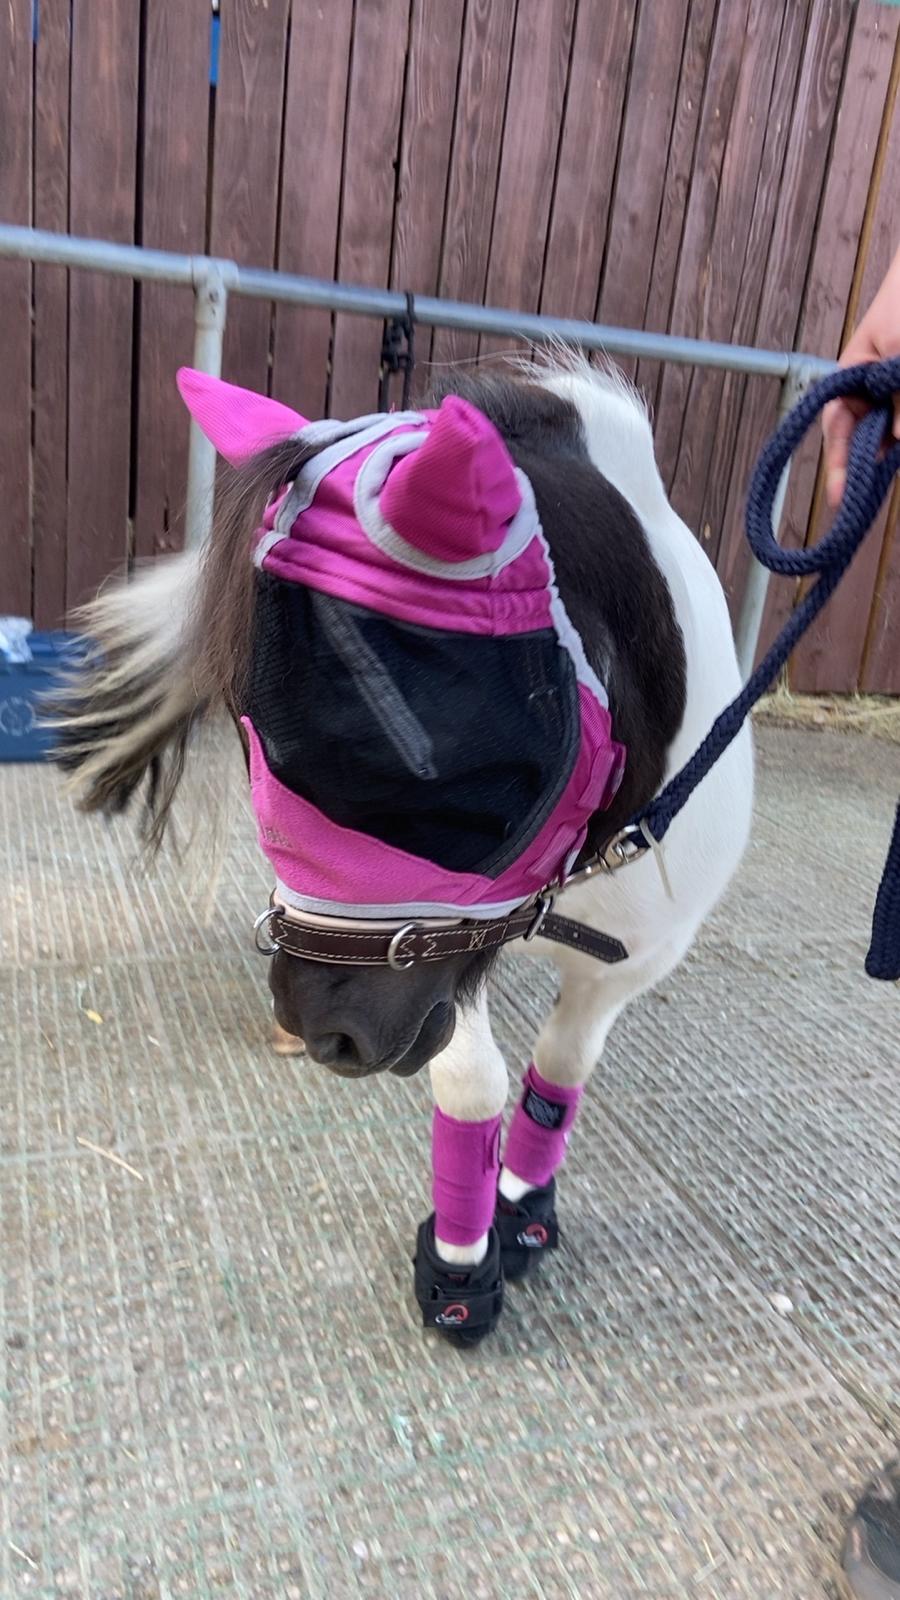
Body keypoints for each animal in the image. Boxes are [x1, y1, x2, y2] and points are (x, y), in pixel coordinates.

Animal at [50, 355, 753, 1343]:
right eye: (250, 724)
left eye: (432, 742)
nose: (329, 1031)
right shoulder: (440, 958)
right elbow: (474, 1085)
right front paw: (462, 1269)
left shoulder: (616, 959)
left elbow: (559, 1072)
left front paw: (523, 1211)